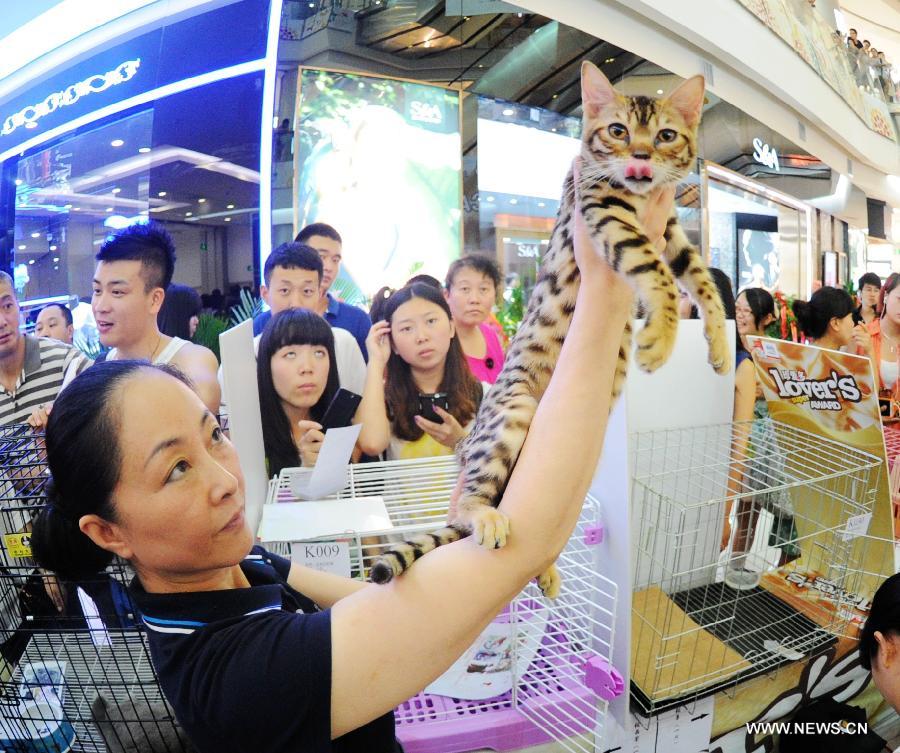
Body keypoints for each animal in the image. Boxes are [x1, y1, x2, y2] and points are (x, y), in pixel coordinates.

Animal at [372, 61, 732, 592]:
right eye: (618, 131)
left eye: (666, 135)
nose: (641, 156)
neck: (641, 197)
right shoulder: (605, 211)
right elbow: (658, 275)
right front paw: (660, 339)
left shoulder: (671, 232)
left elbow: (702, 281)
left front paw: (719, 347)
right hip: (512, 415)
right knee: (469, 504)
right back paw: (485, 518)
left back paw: (543, 567)